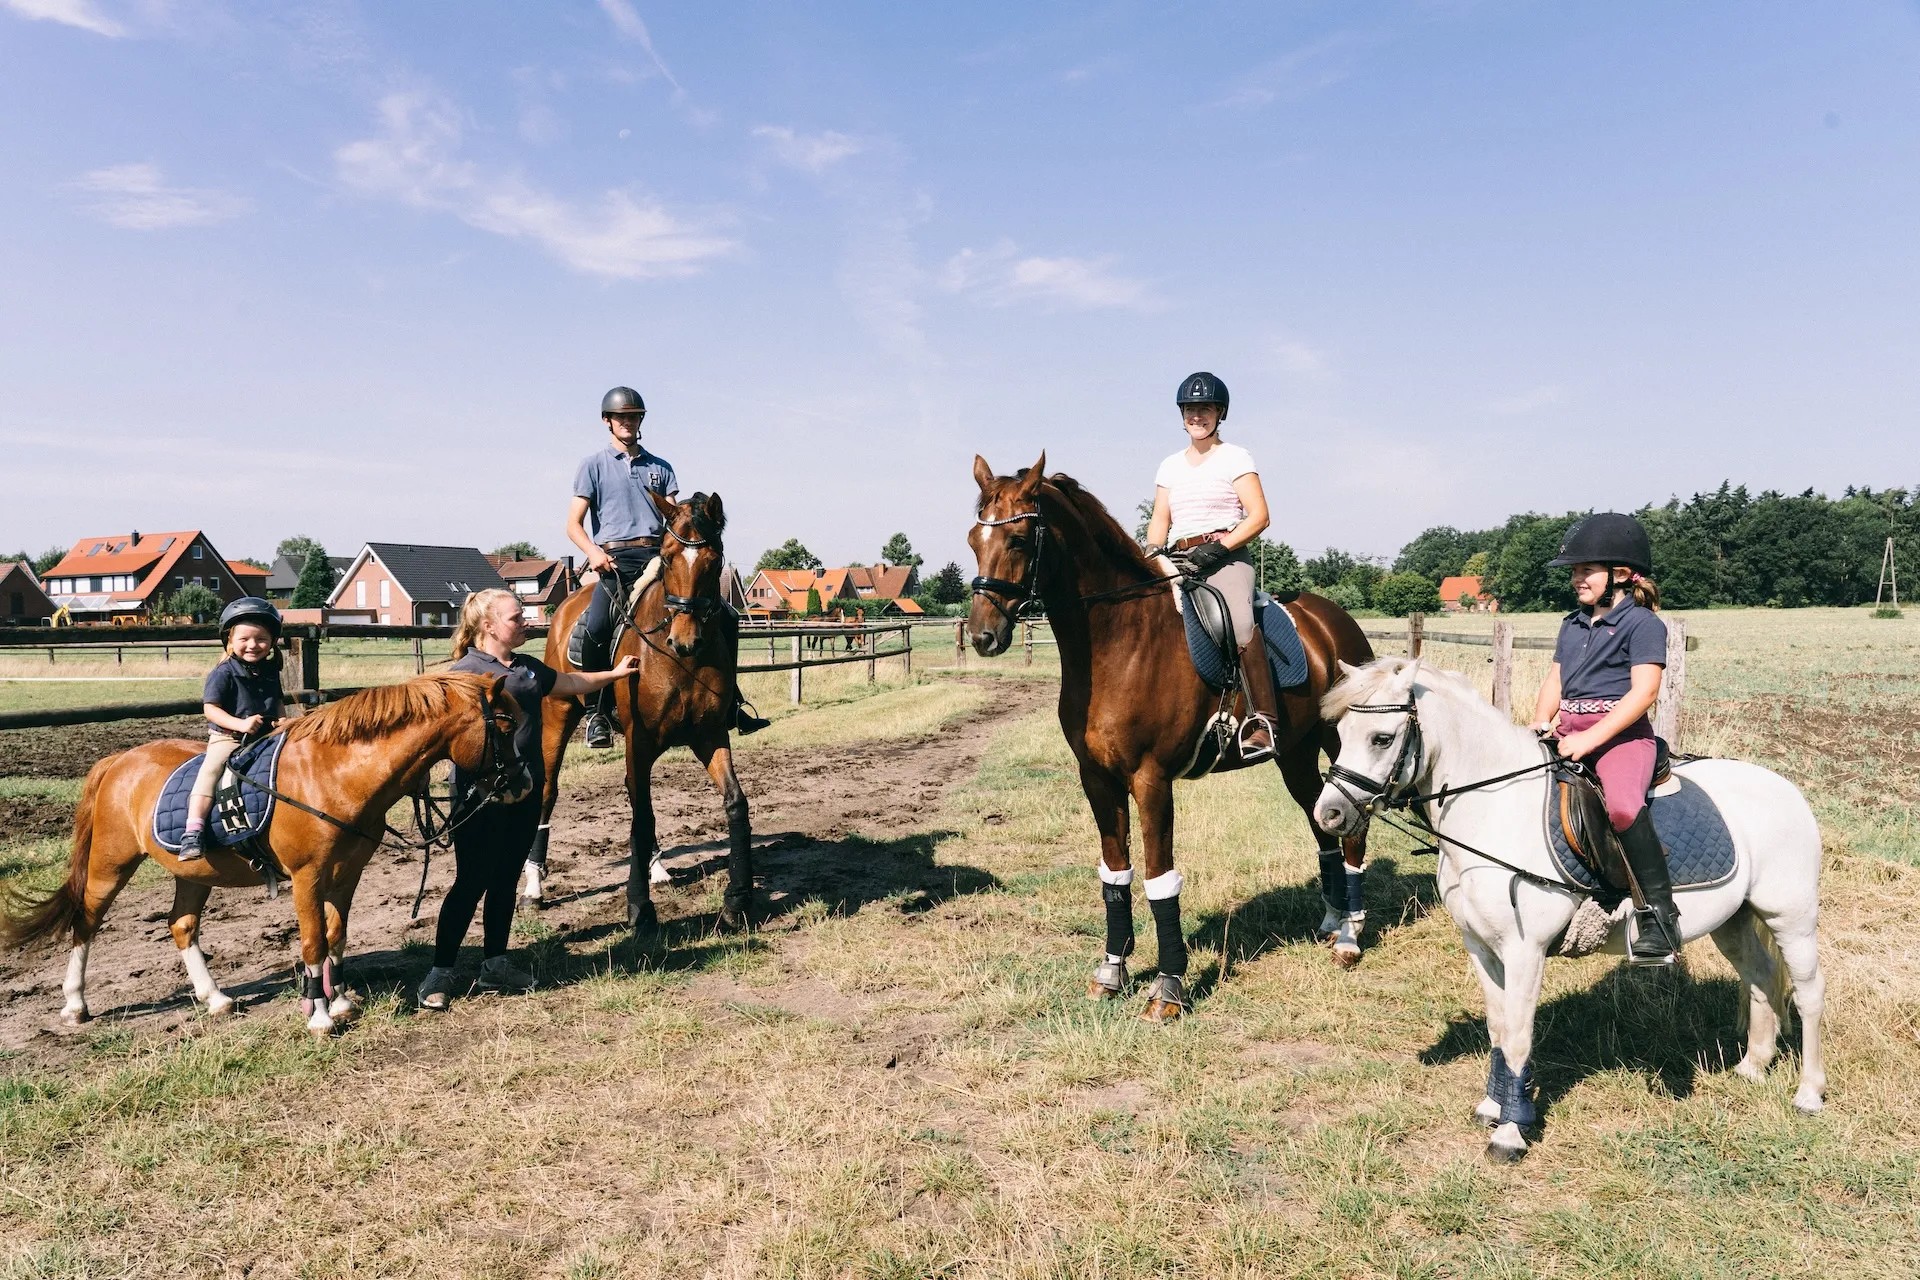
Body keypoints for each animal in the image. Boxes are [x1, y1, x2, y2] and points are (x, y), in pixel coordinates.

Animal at [0, 673, 531, 1038]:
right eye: (505, 728)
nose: (524, 785)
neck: (336, 774)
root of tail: (117, 761)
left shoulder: (347, 874)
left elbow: (337, 936)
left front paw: (340, 1002)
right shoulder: (308, 876)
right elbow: (313, 943)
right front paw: (319, 1017)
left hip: (193, 872)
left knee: (181, 926)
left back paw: (215, 998)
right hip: (111, 865)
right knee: (86, 922)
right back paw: (74, 1005)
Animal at [535, 491, 754, 934]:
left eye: (714, 561)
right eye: (667, 558)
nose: (685, 641)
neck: (680, 662)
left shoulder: (710, 736)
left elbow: (735, 803)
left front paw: (737, 901)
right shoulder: (640, 739)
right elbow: (641, 819)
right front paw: (639, 908)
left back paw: (656, 867)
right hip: (557, 718)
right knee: (549, 790)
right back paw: (533, 883)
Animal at [966, 454, 1377, 1022]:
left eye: (1022, 540)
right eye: (972, 538)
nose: (983, 636)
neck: (1120, 639)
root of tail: (1334, 618)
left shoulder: (1151, 779)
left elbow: (1160, 880)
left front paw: (1169, 989)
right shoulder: (1097, 779)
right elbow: (1115, 874)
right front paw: (1111, 974)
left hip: (1341, 746)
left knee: (1353, 825)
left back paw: (1351, 938)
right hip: (1293, 753)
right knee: (1322, 823)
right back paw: (1333, 921)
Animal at [1314, 657, 1825, 1162]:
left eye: (1382, 738)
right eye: (1339, 733)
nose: (1329, 815)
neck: (1495, 811)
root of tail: (1786, 788)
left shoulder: (1525, 951)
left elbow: (1519, 1035)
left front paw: (1511, 1132)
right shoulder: (1479, 946)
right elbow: (1498, 1028)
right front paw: (1492, 1107)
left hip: (1791, 919)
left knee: (1807, 994)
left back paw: (1808, 1094)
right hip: (1734, 921)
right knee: (1761, 976)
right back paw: (1752, 1067)